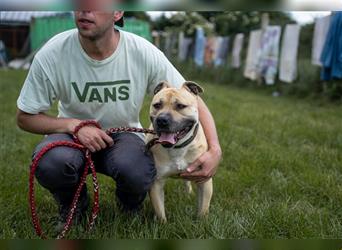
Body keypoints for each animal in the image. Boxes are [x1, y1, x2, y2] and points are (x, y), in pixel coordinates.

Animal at [146, 81, 212, 222]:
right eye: (157, 105)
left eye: (181, 106)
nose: (162, 120)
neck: (176, 147)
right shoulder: (156, 182)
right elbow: (160, 211)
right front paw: (162, 224)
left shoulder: (204, 179)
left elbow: (203, 208)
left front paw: (202, 222)